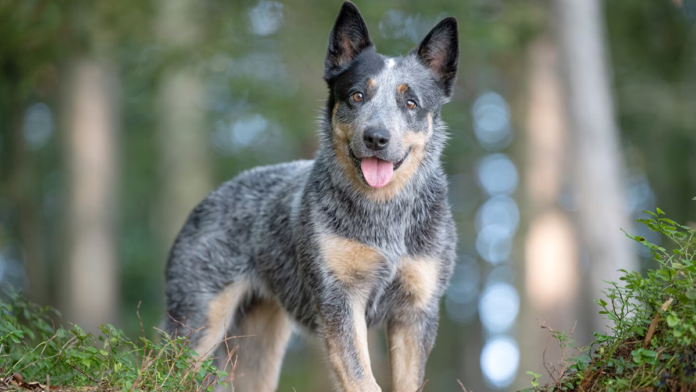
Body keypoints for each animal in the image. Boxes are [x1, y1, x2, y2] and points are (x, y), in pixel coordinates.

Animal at [161, 1, 460, 390]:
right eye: (357, 96)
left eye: (410, 103)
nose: (376, 137)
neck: (385, 216)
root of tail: (210, 198)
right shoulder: (339, 299)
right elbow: (363, 378)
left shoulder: (417, 311)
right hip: (198, 323)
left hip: (257, 347)